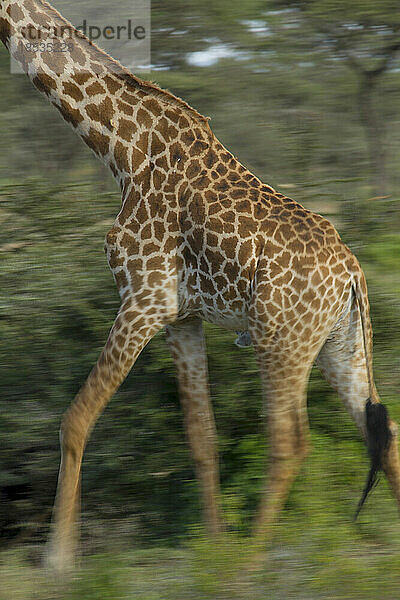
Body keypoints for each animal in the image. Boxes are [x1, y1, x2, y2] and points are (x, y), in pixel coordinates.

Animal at [0, 0, 400, 572]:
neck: (123, 150)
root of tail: (352, 275)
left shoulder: (142, 298)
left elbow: (75, 420)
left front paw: (57, 561)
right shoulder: (182, 317)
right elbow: (201, 437)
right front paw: (211, 545)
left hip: (281, 340)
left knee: (290, 442)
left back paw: (252, 562)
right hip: (338, 346)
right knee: (384, 434)